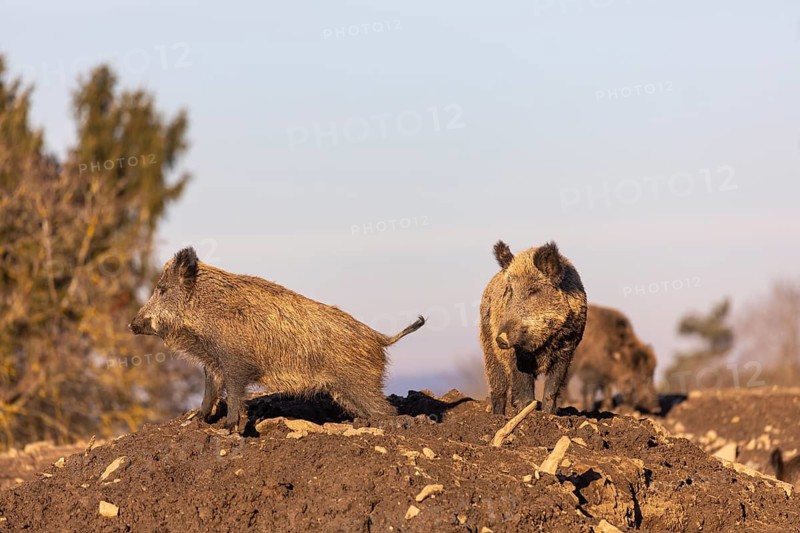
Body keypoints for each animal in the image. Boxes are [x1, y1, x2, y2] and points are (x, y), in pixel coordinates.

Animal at [129, 247, 425, 432]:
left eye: (162, 289)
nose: (132, 324)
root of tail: (380, 338)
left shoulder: (236, 362)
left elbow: (234, 393)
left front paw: (229, 428)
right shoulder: (213, 363)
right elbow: (209, 391)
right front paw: (197, 420)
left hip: (360, 382)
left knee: (386, 410)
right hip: (342, 390)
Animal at [480, 240, 587, 415]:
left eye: (533, 290)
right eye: (510, 290)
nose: (500, 338)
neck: (543, 344)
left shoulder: (567, 348)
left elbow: (552, 388)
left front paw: (548, 415)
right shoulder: (516, 354)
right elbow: (524, 387)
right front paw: (528, 412)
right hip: (489, 349)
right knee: (498, 389)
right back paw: (498, 417)